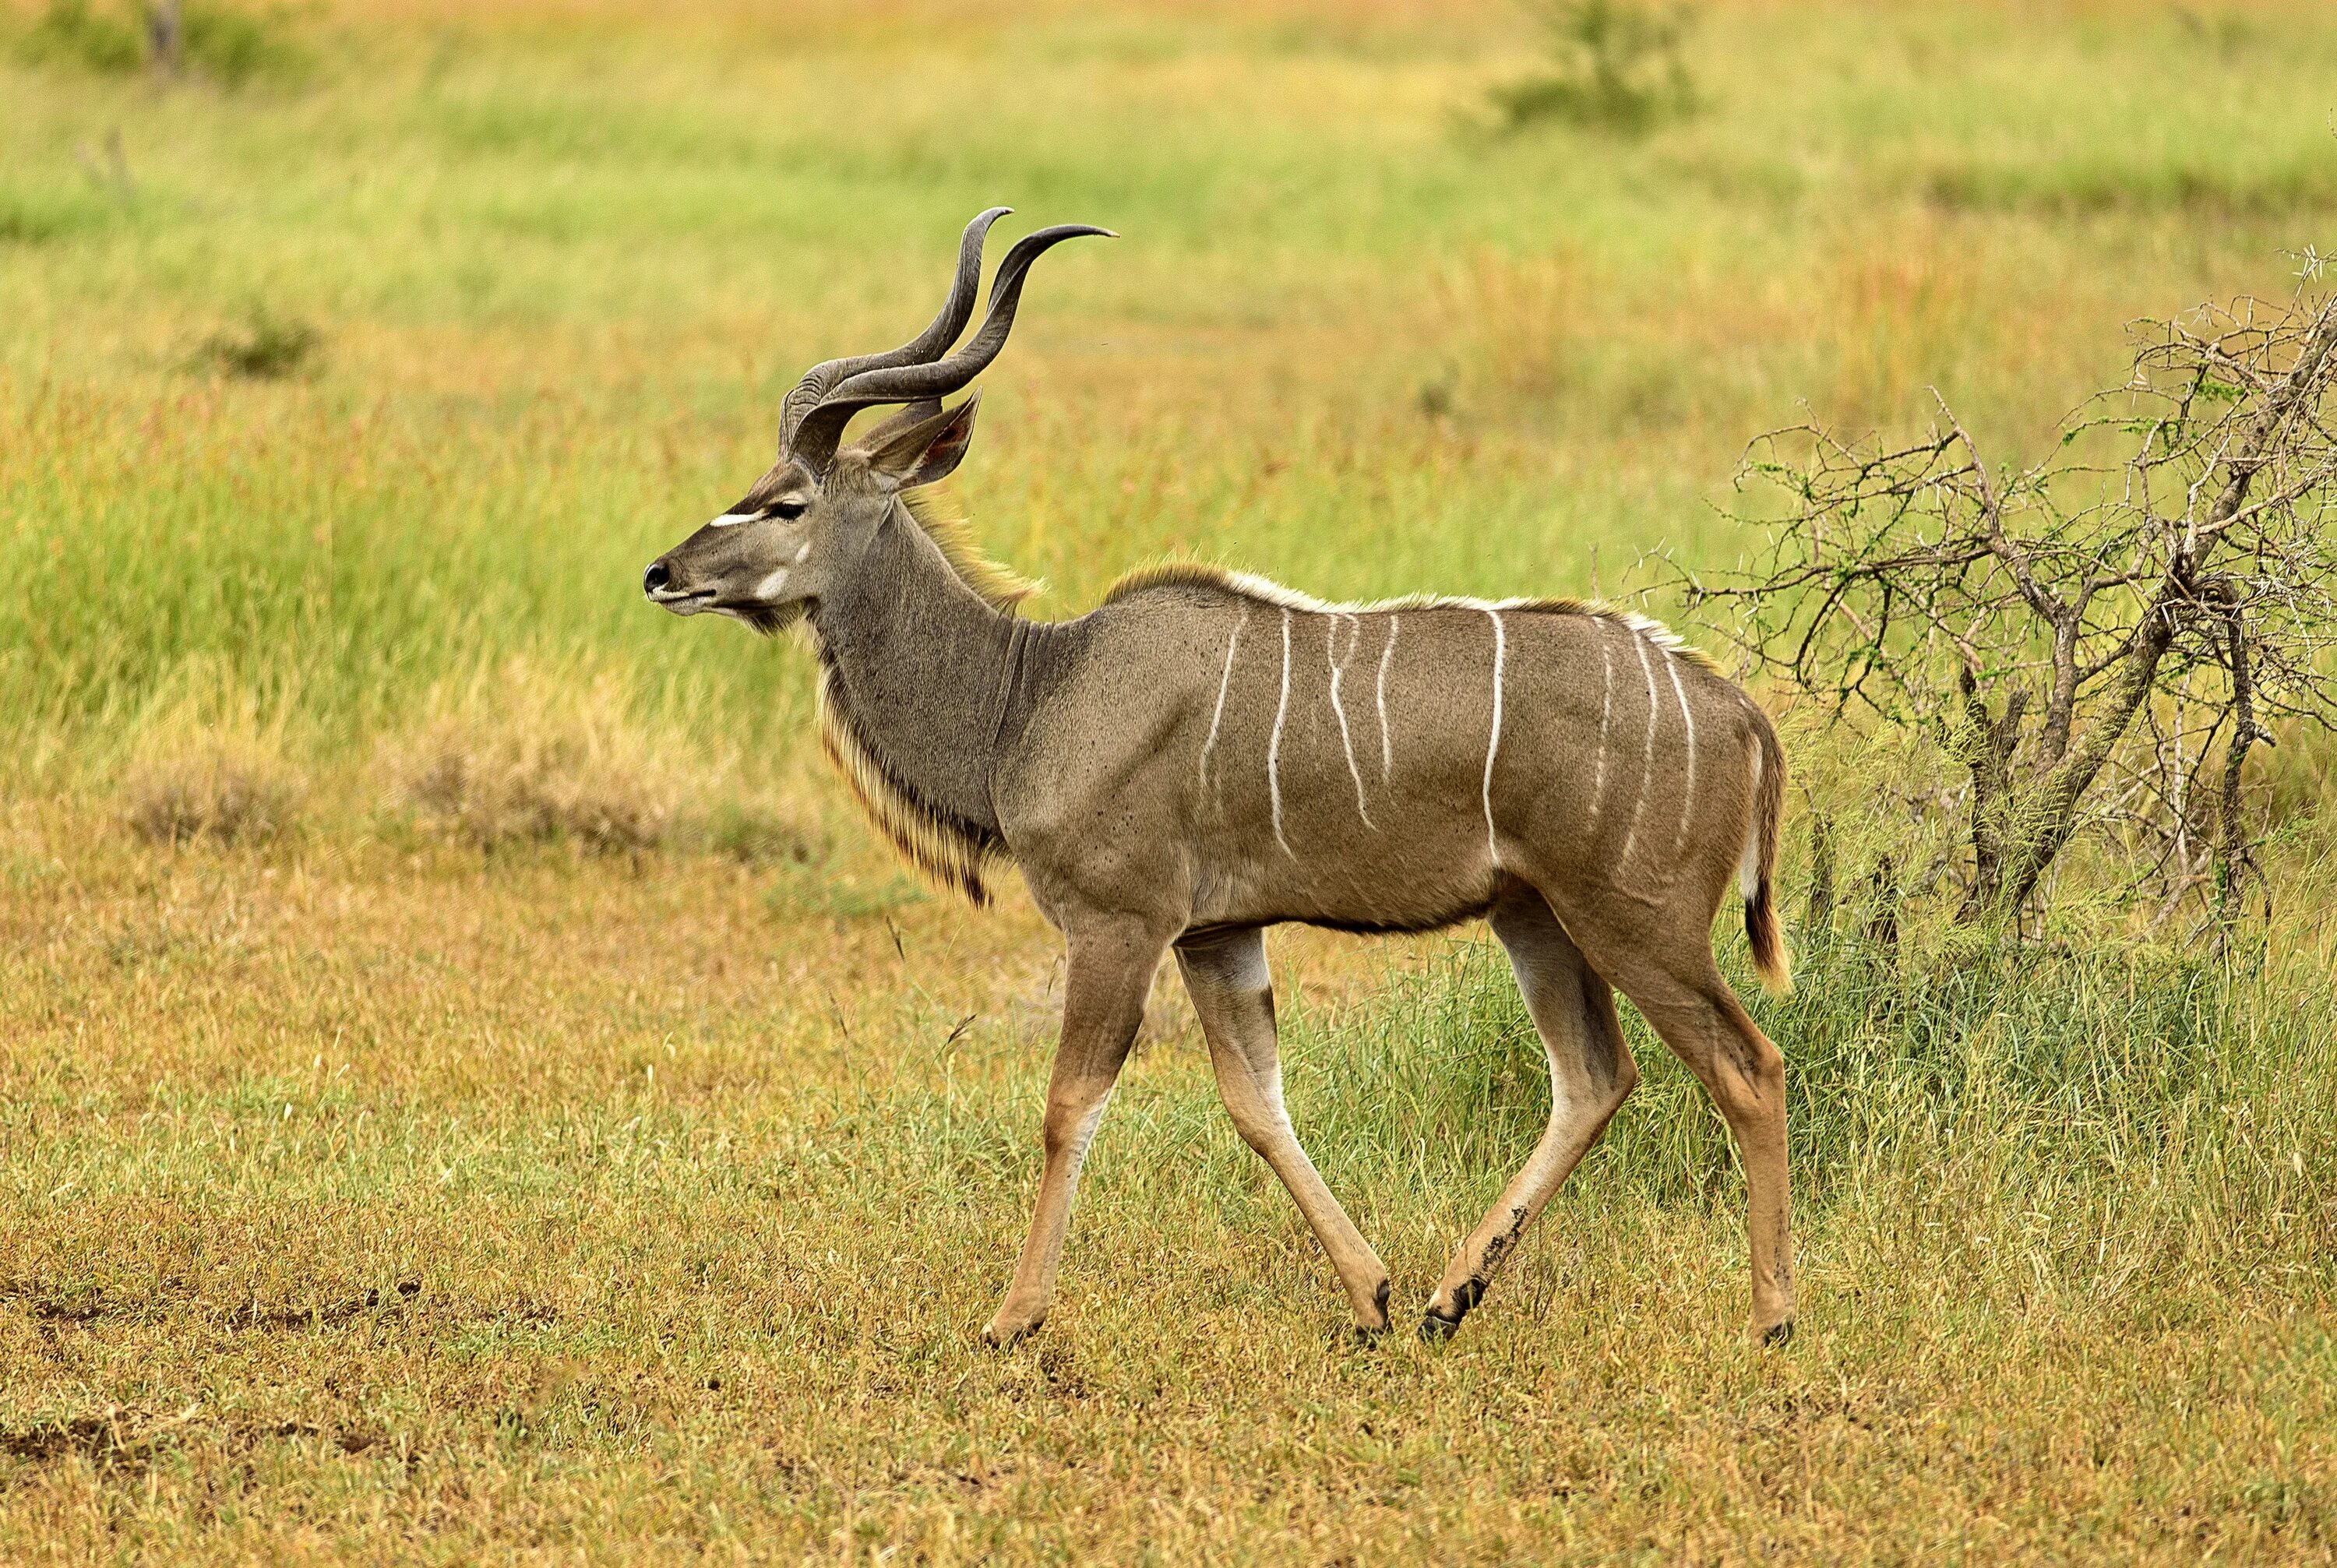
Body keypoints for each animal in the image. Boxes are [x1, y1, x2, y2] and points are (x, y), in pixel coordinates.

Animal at [640, 211, 1785, 1346]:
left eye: (785, 504)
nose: (662, 573)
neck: (1033, 692)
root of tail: (1738, 714)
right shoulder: (1217, 934)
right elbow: (1256, 1104)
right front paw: (1370, 1295)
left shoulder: (1122, 923)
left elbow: (1069, 1106)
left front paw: (1014, 1320)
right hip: (1534, 914)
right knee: (1595, 1079)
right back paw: (1444, 1300)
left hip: (1635, 920)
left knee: (1748, 1067)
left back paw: (1770, 1320)